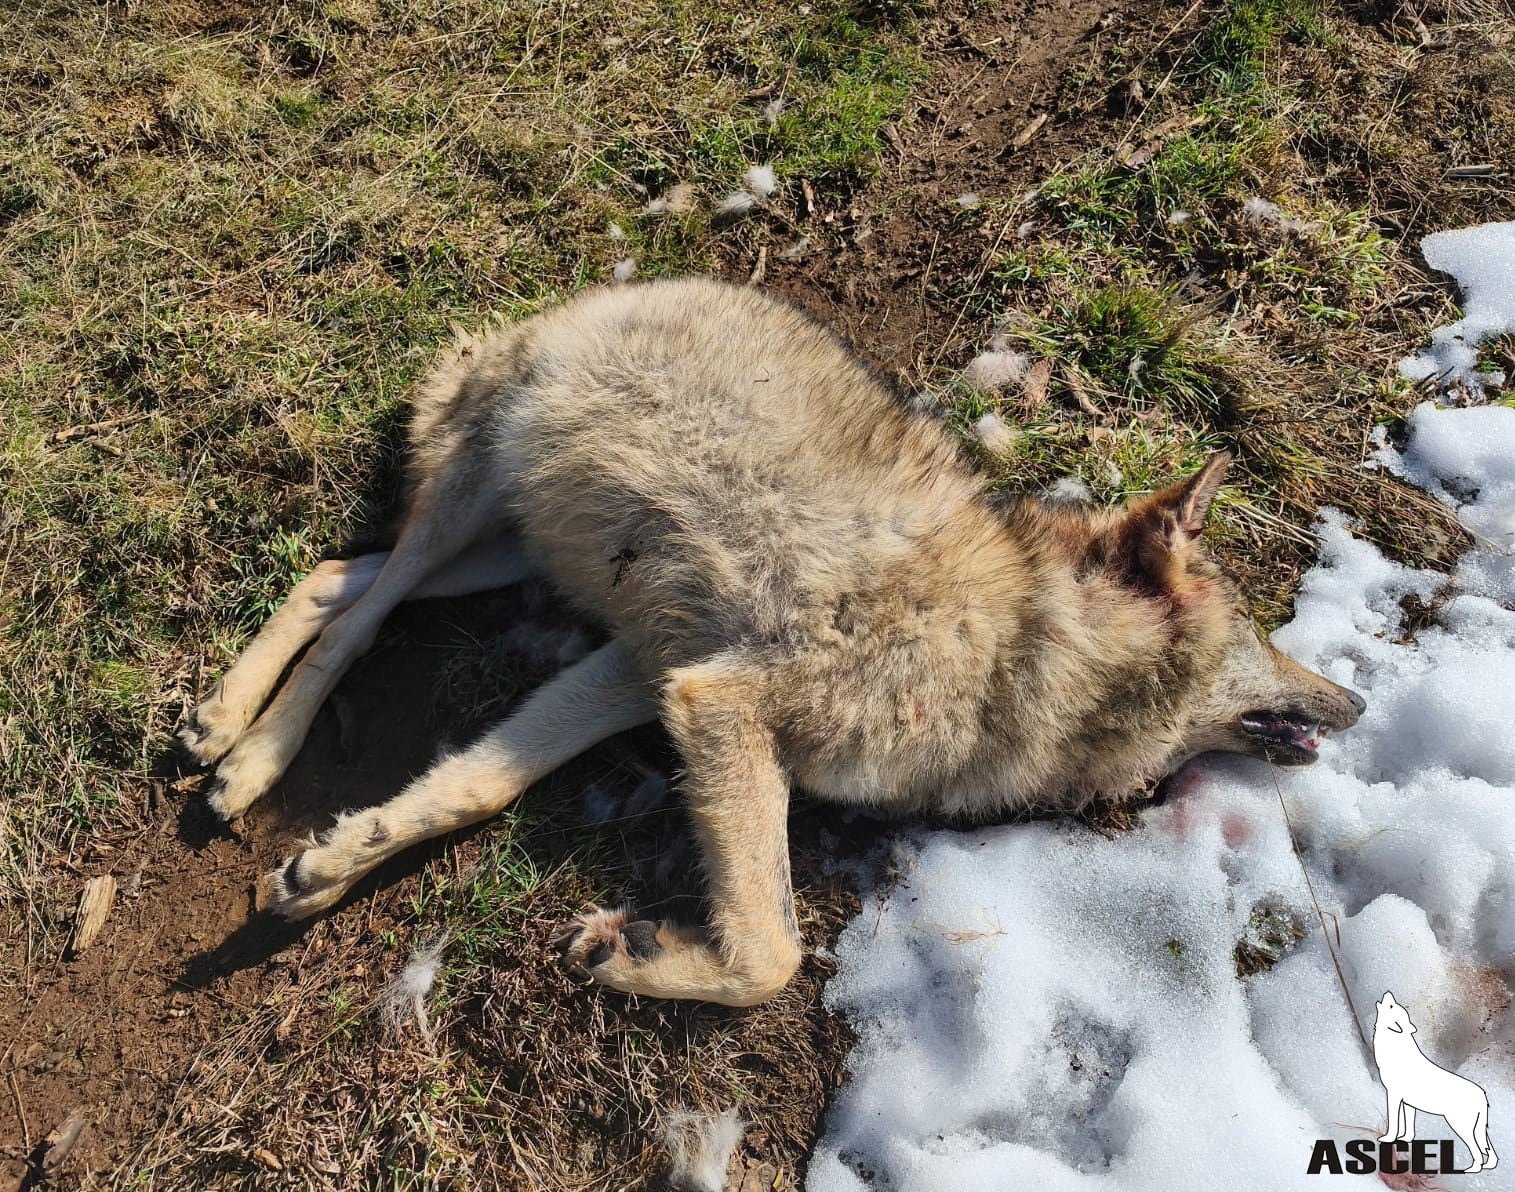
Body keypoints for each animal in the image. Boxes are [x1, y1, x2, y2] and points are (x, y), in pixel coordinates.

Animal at [180, 277, 1365, 1006]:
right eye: (1261, 635)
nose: (1359, 702)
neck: (1015, 648)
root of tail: (601, 293)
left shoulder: (648, 672)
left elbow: (472, 787)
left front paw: (333, 863)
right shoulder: (720, 703)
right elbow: (773, 955)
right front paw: (633, 957)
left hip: (509, 552)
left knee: (334, 578)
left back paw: (229, 729)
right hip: (471, 509)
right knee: (361, 609)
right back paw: (248, 756)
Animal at [1374, 992, 1497, 1173]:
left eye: (1391, 1006)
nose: (1387, 993)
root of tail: (1482, 1095)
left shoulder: (1393, 1096)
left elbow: (1394, 1124)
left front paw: (1388, 1139)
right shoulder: (1408, 1104)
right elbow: (1408, 1126)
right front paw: (1405, 1139)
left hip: (1461, 1126)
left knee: (1477, 1151)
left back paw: (1473, 1169)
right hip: (1479, 1129)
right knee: (1489, 1150)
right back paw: (1489, 1165)